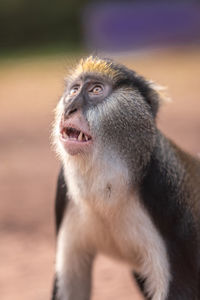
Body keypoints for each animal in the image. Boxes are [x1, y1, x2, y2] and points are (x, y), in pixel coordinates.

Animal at [51, 56, 200, 300]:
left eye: (96, 89)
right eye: (74, 90)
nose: (69, 108)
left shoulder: (163, 191)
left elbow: (182, 286)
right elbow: (71, 280)